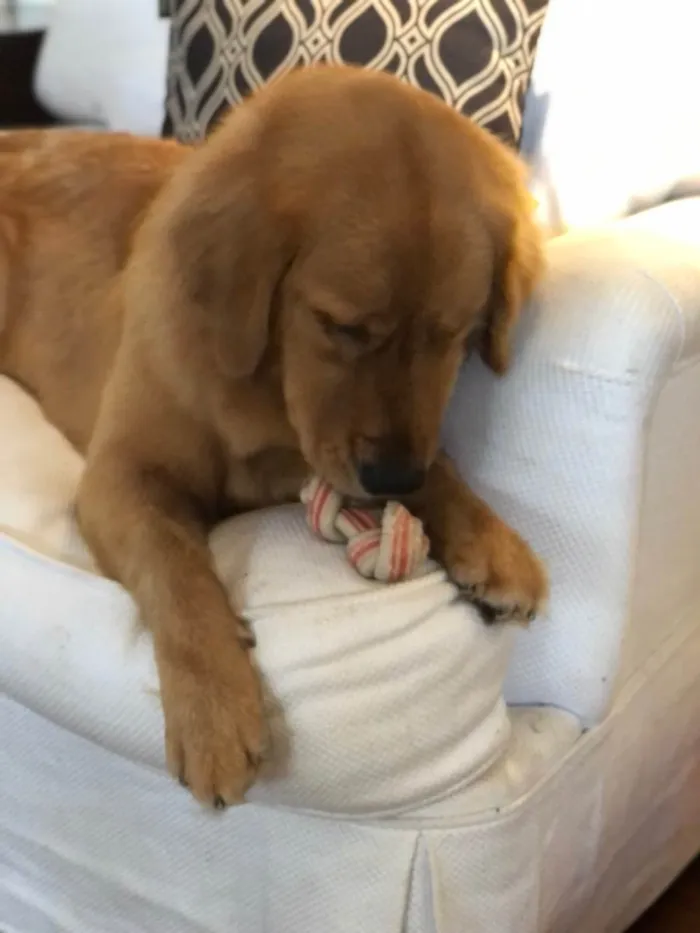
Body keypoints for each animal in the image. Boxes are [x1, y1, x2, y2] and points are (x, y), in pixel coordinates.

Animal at [0, 65, 547, 808]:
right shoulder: (121, 475)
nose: (393, 479)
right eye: (341, 326)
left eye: (454, 333)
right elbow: (175, 569)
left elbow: (441, 467)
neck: (266, 386)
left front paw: (493, 542)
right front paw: (213, 713)